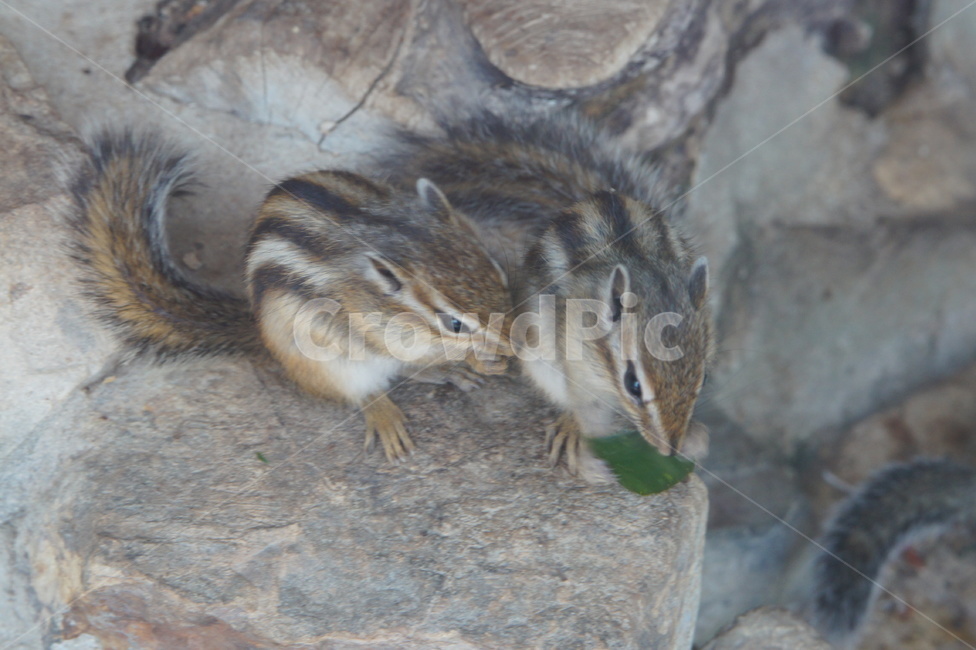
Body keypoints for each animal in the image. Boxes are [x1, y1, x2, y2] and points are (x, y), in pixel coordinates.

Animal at [69, 132, 513, 461]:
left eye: (499, 272)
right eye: (454, 323)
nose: (511, 345)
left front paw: (475, 361)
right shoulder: (360, 329)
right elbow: (397, 356)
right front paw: (475, 356)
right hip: (322, 362)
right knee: (361, 389)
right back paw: (385, 413)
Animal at [380, 110, 713, 482]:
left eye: (702, 378)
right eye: (634, 385)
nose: (667, 449)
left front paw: (694, 440)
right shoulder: (573, 363)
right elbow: (584, 408)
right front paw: (590, 457)